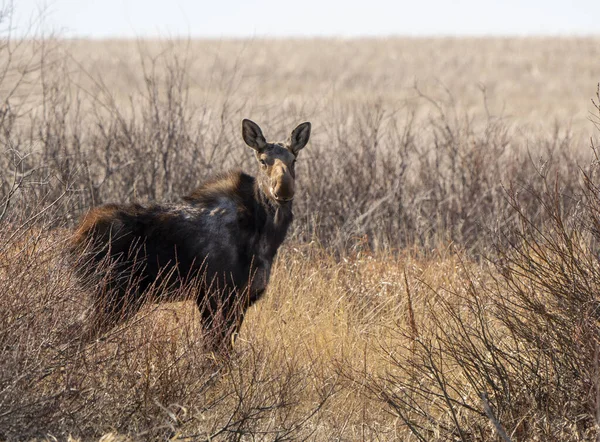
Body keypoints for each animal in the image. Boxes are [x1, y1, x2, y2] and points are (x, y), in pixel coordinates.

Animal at [71, 120, 310, 348]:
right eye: (262, 160)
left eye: (293, 160)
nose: (283, 188)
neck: (266, 238)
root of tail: (74, 240)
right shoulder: (214, 295)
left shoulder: (242, 298)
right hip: (114, 296)